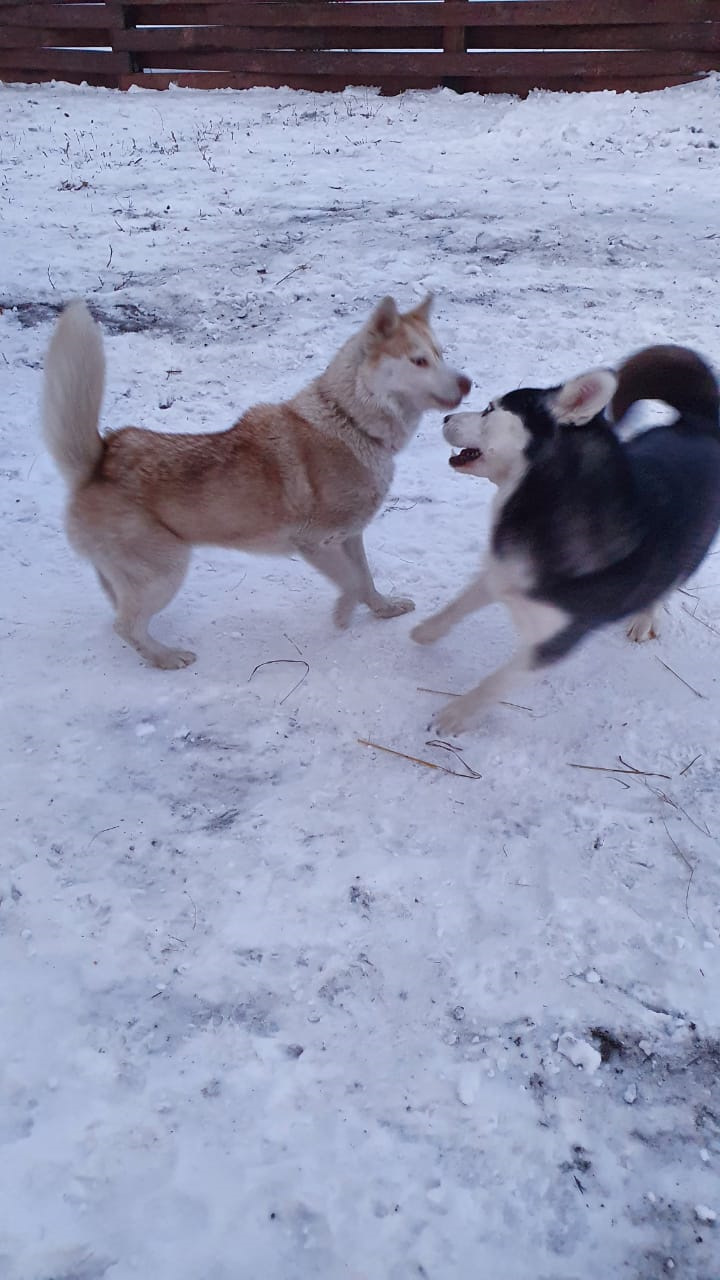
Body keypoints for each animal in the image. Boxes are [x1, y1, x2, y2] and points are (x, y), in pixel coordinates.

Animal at [409, 345, 717, 737]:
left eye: (490, 409)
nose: (446, 418)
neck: (544, 501)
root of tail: (700, 425)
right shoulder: (503, 571)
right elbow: (458, 605)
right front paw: (427, 631)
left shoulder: (556, 640)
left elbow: (497, 682)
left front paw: (457, 714)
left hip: (690, 552)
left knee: (667, 582)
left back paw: (644, 617)